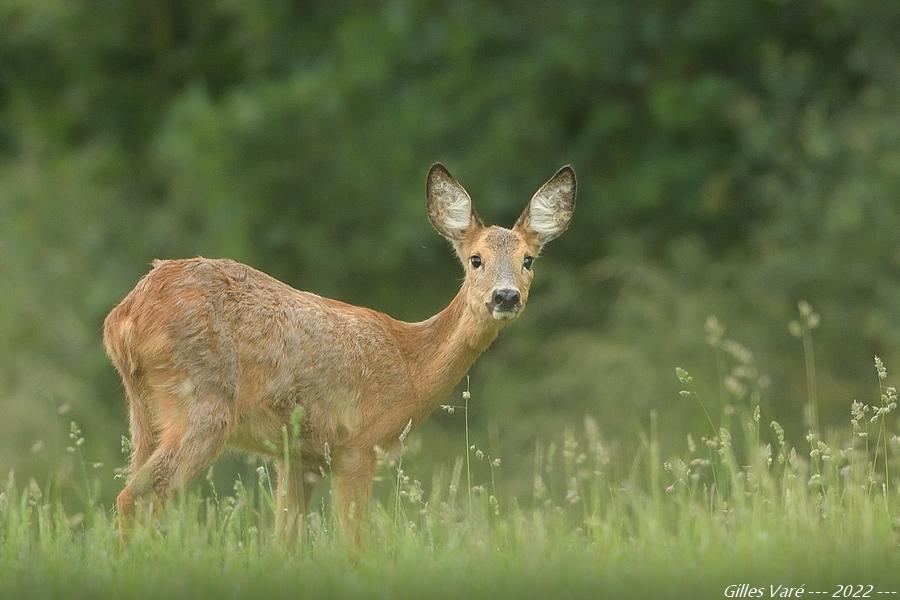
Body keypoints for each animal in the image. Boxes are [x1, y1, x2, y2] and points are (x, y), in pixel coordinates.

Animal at [102, 162, 572, 540]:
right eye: (476, 259)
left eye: (528, 260)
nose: (506, 296)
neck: (410, 365)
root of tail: (125, 318)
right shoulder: (358, 445)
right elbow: (355, 543)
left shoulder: (299, 455)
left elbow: (285, 542)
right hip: (202, 402)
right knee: (135, 497)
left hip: (143, 409)